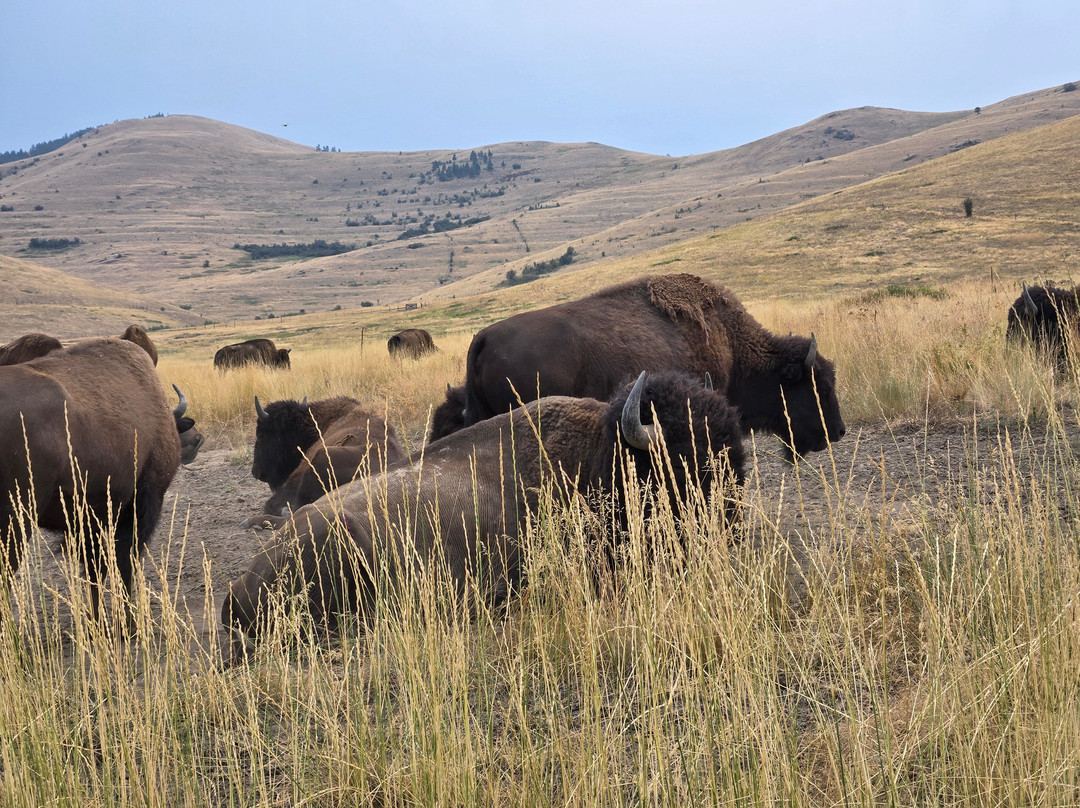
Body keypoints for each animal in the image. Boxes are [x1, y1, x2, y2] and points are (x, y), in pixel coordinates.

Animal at [0, 337, 189, 619]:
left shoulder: (89, 518)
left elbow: (94, 570)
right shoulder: (143, 504)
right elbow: (123, 564)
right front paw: (127, 621)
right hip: (15, 521)